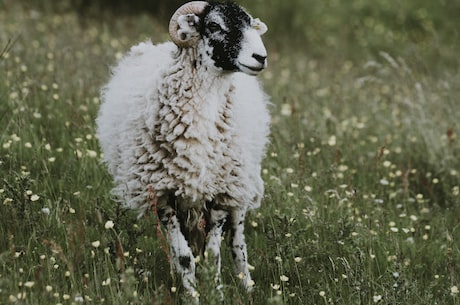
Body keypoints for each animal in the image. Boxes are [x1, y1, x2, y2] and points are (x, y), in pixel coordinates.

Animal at [96, 0, 270, 298]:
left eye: (250, 24)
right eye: (214, 25)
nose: (261, 57)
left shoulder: (220, 192)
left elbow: (214, 255)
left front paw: (217, 295)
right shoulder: (163, 195)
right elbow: (184, 256)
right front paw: (192, 295)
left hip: (239, 184)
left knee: (238, 240)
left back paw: (246, 285)